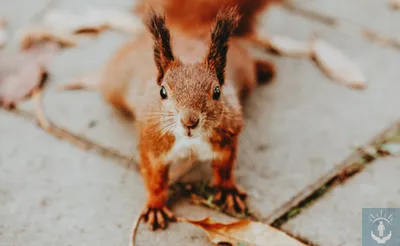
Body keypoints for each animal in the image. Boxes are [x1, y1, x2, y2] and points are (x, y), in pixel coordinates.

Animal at [98, 1, 276, 230]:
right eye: (162, 92)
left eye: (217, 92)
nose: (189, 121)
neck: (191, 141)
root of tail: (187, 28)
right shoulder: (152, 143)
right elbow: (154, 179)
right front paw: (155, 206)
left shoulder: (227, 138)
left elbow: (225, 169)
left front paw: (227, 190)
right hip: (114, 81)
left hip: (244, 69)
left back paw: (263, 68)